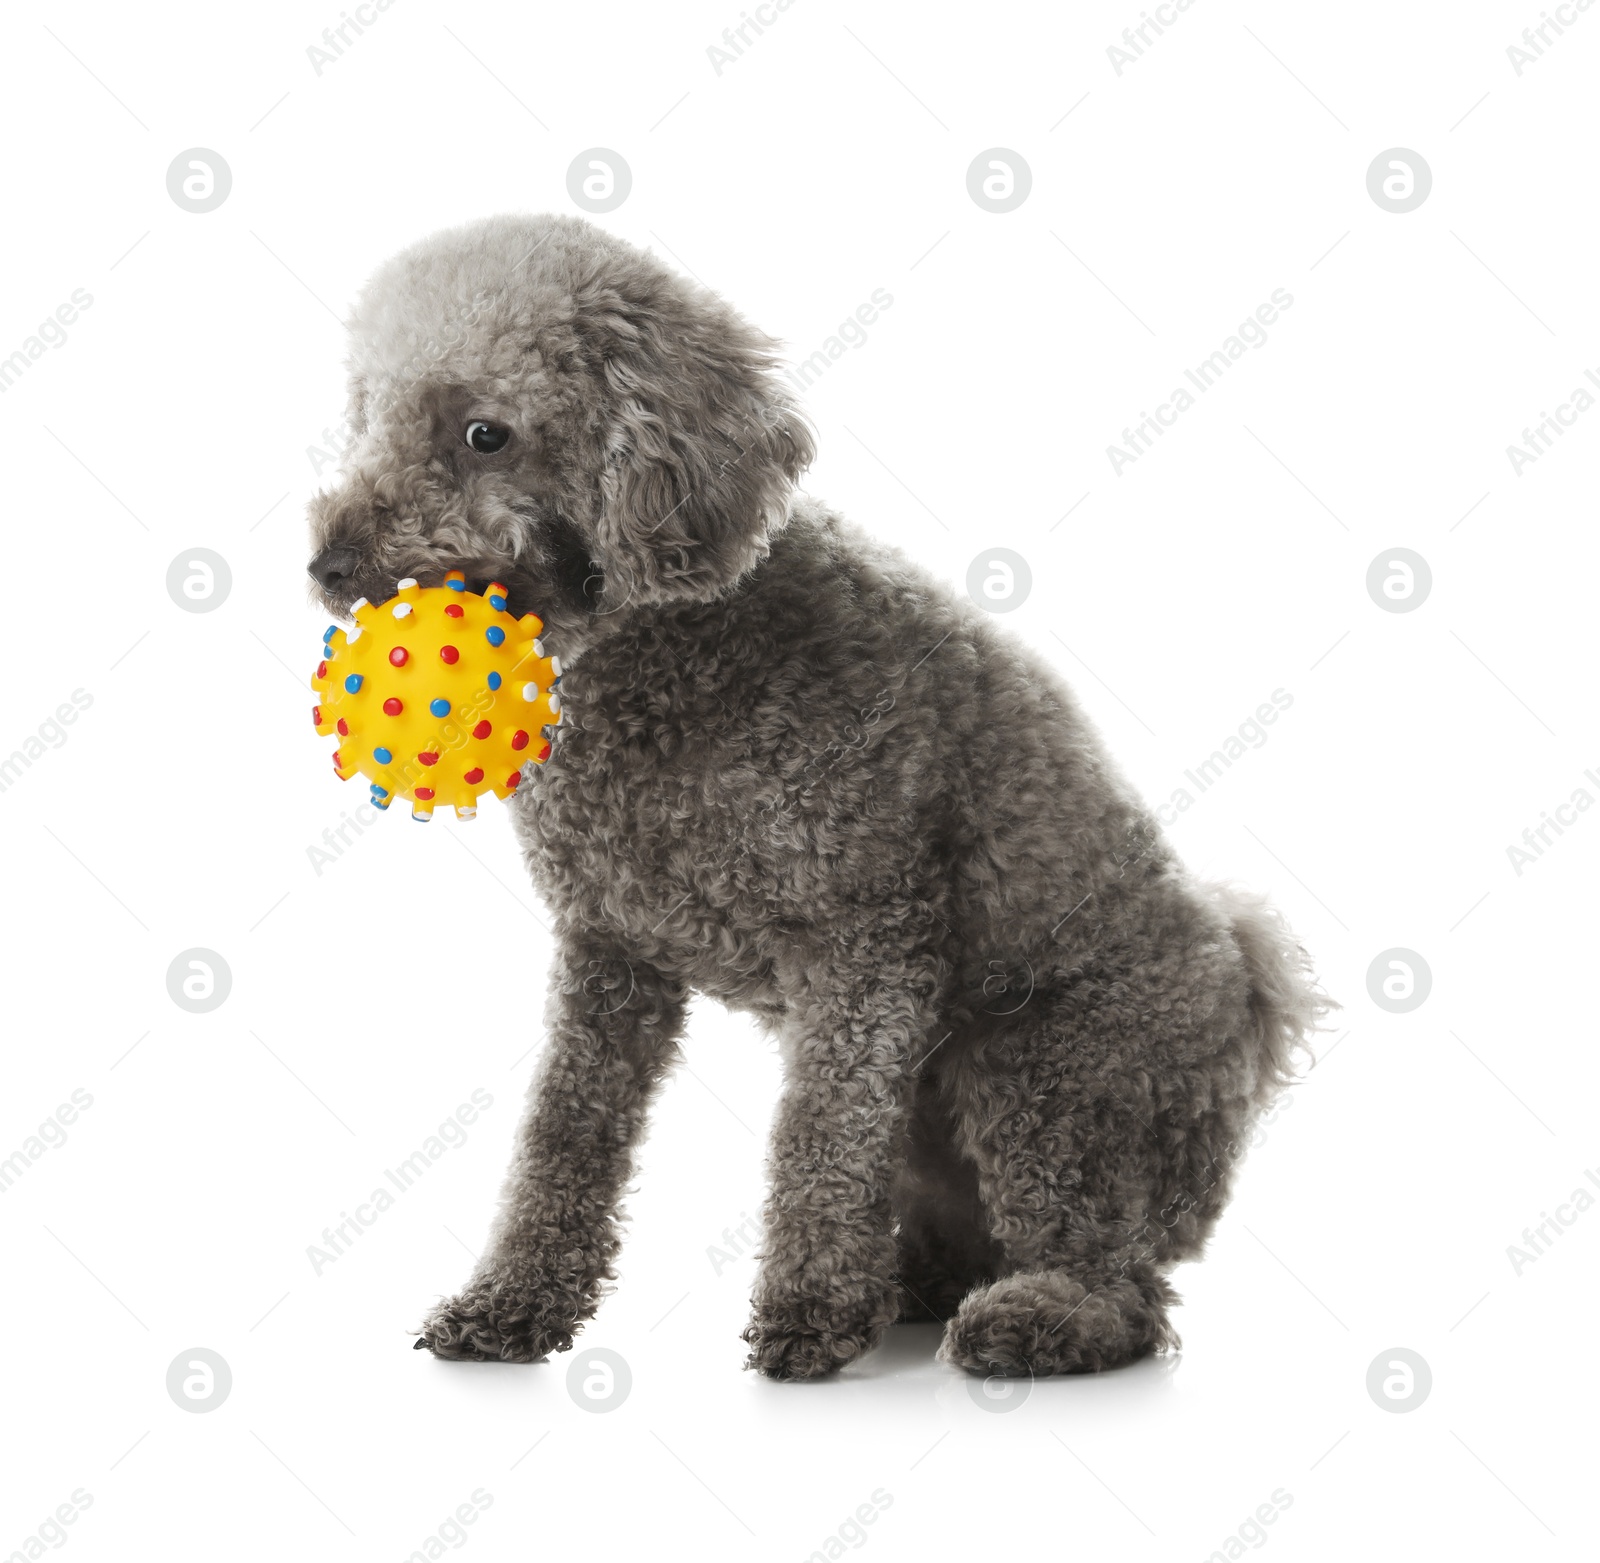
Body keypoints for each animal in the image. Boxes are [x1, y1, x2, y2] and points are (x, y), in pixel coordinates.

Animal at [305, 211, 1331, 1375]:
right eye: (367, 417)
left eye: (486, 434)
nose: (327, 563)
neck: (674, 659)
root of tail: (1244, 1001)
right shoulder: (608, 951)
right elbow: (563, 1132)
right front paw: (513, 1301)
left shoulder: (866, 944)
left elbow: (821, 1136)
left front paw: (808, 1310)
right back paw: (915, 1282)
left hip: (1045, 1071)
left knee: (1124, 1285)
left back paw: (1035, 1316)